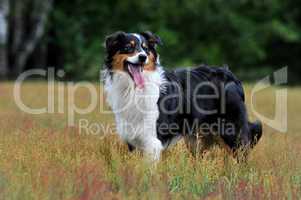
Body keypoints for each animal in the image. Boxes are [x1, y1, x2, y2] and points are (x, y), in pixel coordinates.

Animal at [102, 31, 260, 162]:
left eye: (146, 49)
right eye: (128, 47)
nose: (143, 57)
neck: (133, 88)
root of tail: (231, 74)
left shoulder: (152, 139)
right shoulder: (133, 137)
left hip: (231, 131)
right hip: (198, 139)